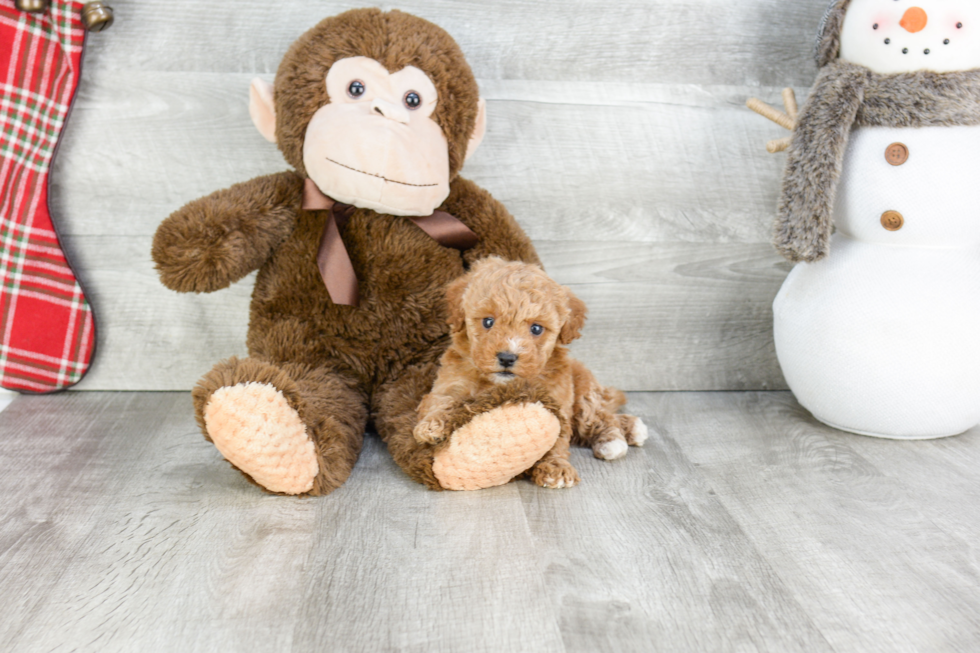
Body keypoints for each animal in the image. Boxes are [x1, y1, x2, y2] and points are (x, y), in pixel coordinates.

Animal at [416, 258, 652, 486]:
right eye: (488, 321)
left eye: (536, 329)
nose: (507, 357)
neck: (498, 384)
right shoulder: (450, 382)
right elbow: (442, 401)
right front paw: (431, 426)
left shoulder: (557, 402)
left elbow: (557, 438)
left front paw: (555, 468)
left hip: (585, 394)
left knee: (599, 418)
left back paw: (614, 440)